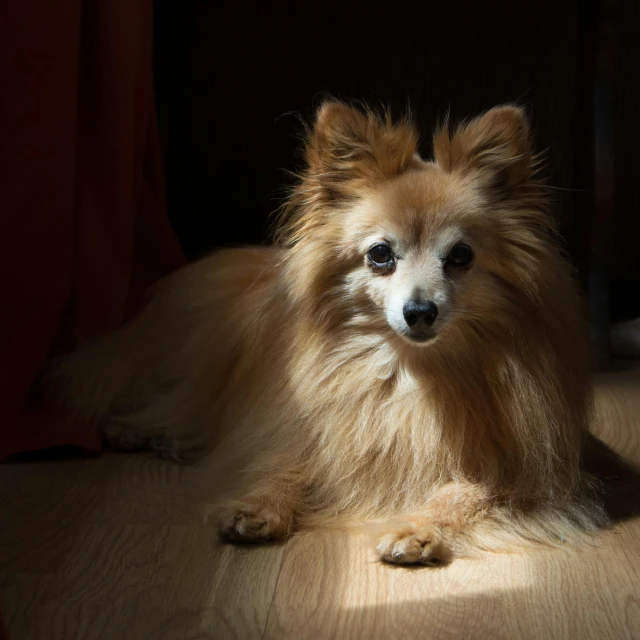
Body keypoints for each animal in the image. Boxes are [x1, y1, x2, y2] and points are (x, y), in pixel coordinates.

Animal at [52, 100, 608, 564]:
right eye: (380, 255)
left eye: (460, 257)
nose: (420, 311)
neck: (408, 374)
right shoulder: (299, 433)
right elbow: (285, 465)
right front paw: (259, 503)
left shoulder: (531, 476)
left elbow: (467, 492)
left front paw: (418, 526)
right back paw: (138, 428)